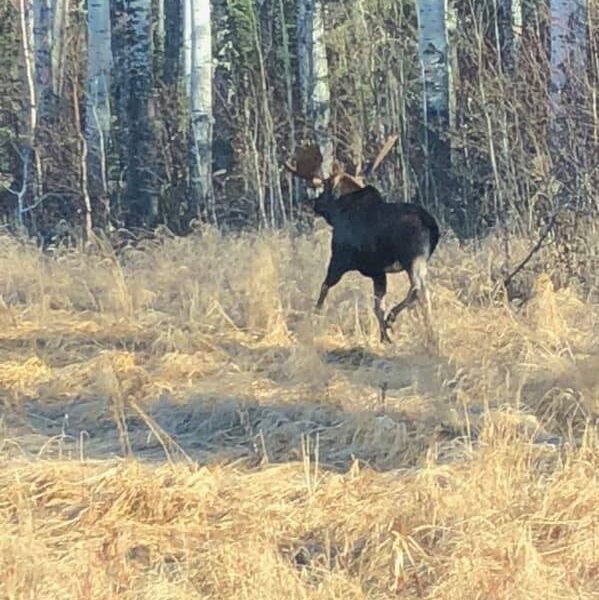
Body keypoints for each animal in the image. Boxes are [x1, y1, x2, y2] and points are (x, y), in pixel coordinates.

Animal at [284, 141, 438, 344]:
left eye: (324, 188)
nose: (315, 204)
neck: (339, 212)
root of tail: (432, 225)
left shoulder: (339, 260)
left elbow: (324, 288)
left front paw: (314, 317)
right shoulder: (378, 273)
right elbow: (377, 306)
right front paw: (385, 337)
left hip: (412, 258)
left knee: (418, 289)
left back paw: (395, 318)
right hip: (418, 260)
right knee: (423, 292)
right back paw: (429, 334)